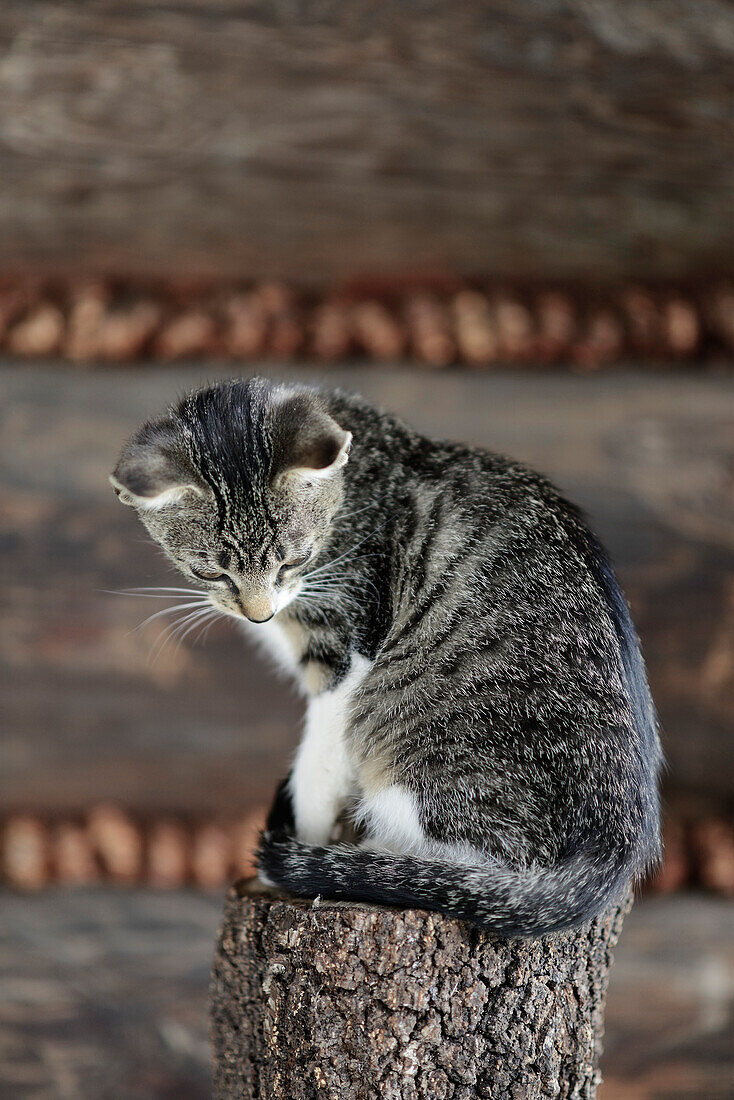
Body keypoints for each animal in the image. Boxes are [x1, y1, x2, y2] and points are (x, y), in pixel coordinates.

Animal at [112, 376, 664, 937]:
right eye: (210, 573)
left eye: (293, 560)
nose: (259, 615)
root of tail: (616, 850)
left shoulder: (347, 648)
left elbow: (318, 762)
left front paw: (305, 847)